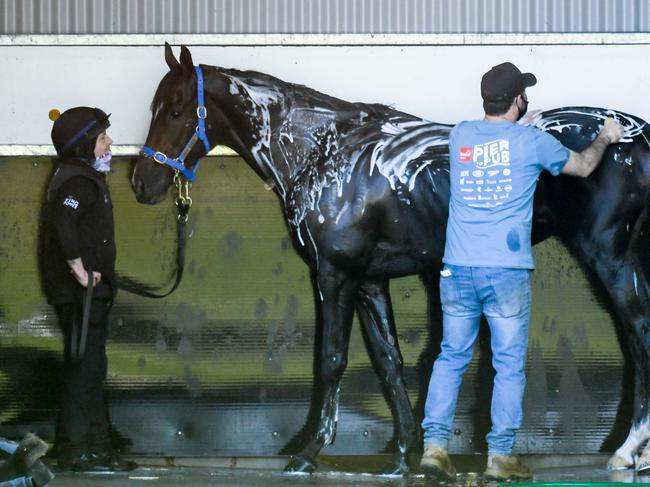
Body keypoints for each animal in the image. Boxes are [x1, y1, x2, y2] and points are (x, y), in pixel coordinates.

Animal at [129, 43, 648, 474]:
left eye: (174, 110)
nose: (141, 184)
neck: (324, 154)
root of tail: (636, 135)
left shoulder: (334, 276)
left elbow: (331, 360)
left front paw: (308, 452)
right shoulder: (370, 282)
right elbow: (388, 361)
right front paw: (404, 455)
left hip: (612, 260)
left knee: (639, 336)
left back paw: (627, 451)